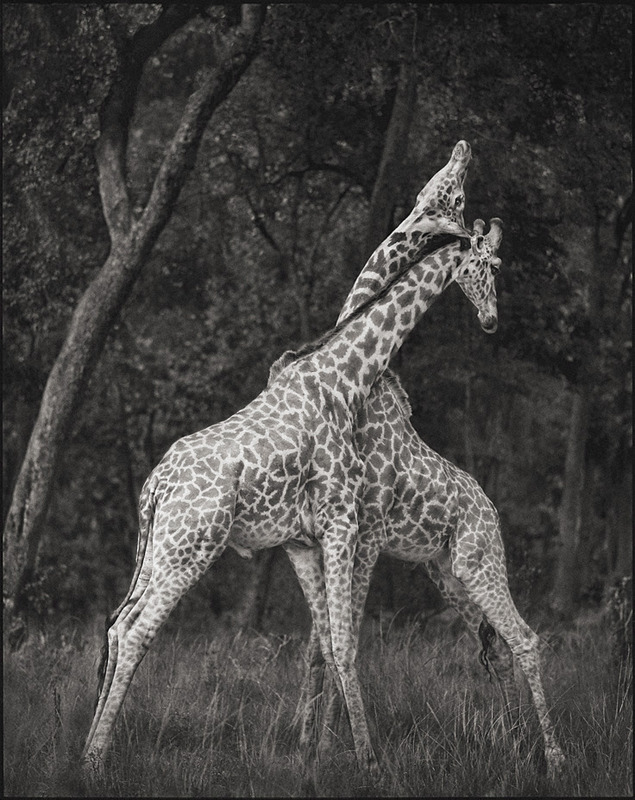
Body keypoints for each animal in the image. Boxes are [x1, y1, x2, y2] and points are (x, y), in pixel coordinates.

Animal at [81, 146, 477, 776]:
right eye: (452, 194)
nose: (465, 150)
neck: (347, 375)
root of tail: (155, 486)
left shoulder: (306, 538)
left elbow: (323, 643)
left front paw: (315, 750)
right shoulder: (345, 524)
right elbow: (339, 642)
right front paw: (358, 756)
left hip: (159, 549)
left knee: (118, 627)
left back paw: (90, 750)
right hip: (189, 547)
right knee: (138, 632)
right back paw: (96, 758)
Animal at [274, 218, 565, 778]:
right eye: (493, 264)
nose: (491, 320)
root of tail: (492, 511)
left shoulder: (363, 534)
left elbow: (342, 640)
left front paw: (330, 748)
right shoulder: (347, 535)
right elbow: (324, 644)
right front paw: (314, 748)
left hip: (480, 563)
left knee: (524, 638)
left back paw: (555, 760)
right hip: (449, 573)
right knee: (497, 648)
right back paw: (516, 746)